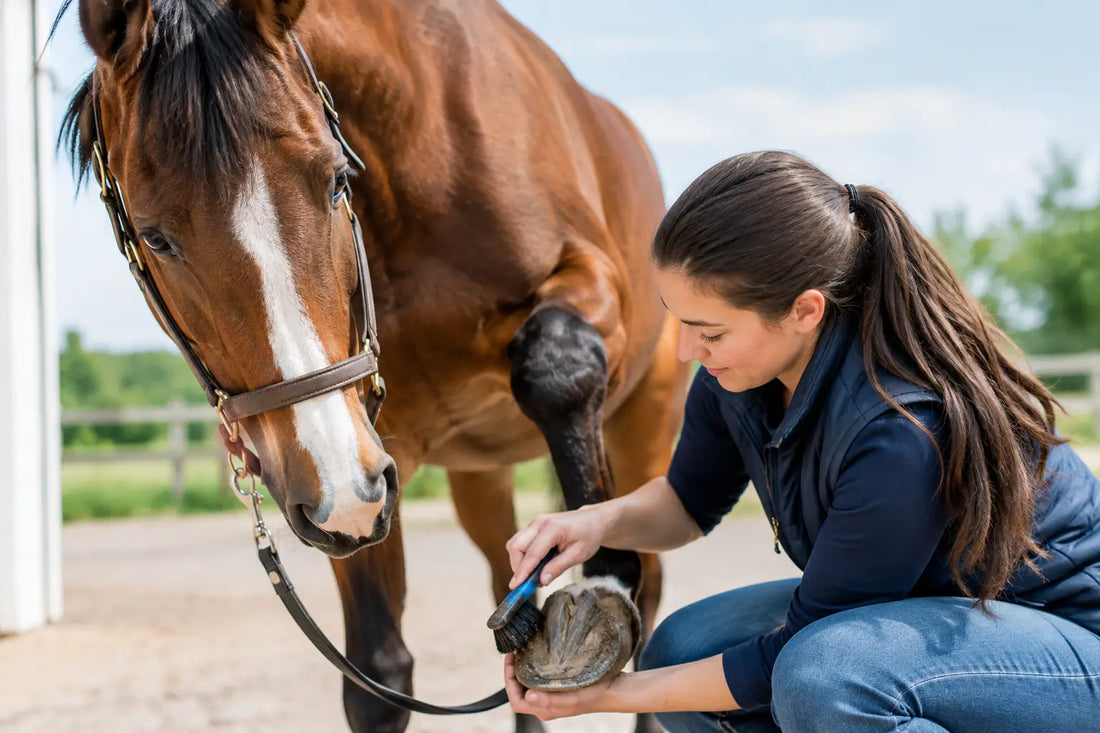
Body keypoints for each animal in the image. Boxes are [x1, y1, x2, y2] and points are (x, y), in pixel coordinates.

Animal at [64, 0, 689, 730]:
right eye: (155, 237)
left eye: (338, 181)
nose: (338, 486)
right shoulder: (359, 463)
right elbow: (378, 674)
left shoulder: (590, 283)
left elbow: (554, 363)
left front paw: (600, 583)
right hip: (472, 474)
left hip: (644, 419)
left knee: (654, 585)